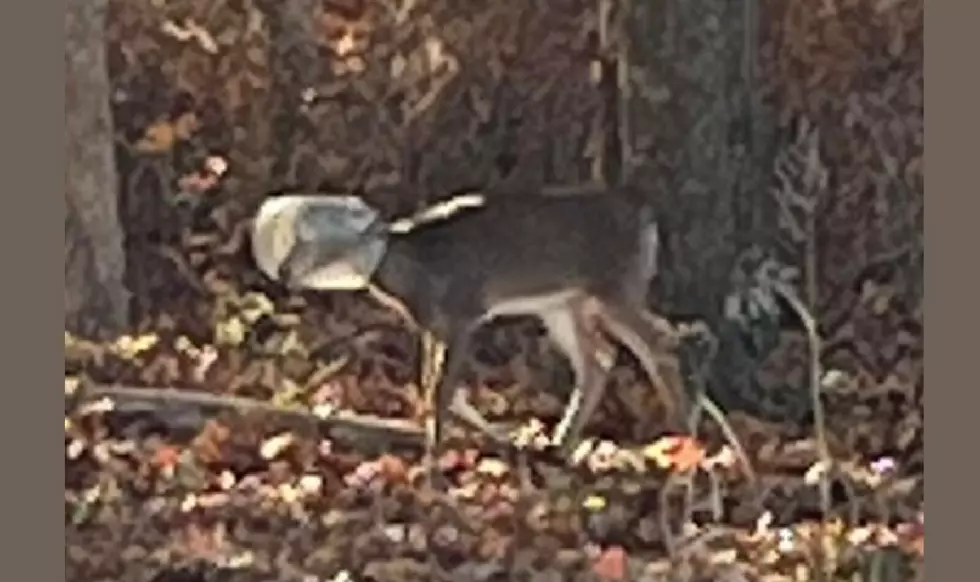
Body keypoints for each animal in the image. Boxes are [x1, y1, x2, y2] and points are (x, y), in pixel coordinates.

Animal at [249, 186, 751, 482]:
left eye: (310, 240)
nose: (284, 275)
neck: (414, 270)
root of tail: (647, 219)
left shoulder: (465, 313)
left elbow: (439, 393)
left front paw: (431, 468)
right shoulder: (436, 325)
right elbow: (433, 389)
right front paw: (489, 442)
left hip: (614, 287)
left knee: (662, 346)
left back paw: (683, 442)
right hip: (563, 304)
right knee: (601, 360)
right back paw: (559, 447)